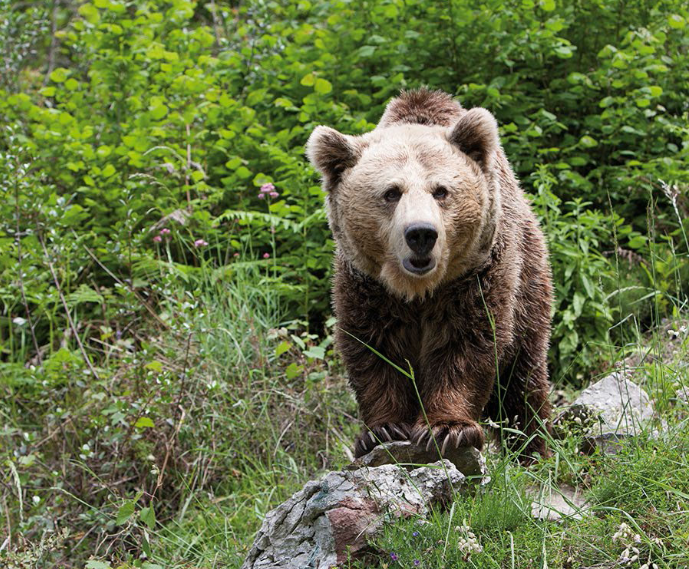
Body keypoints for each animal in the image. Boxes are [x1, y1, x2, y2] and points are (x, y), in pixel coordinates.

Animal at [306, 88, 553, 462]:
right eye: (391, 192)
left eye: (441, 191)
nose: (421, 233)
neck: (419, 289)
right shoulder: (366, 285)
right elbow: (374, 349)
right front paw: (382, 430)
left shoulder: (476, 276)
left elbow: (468, 344)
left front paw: (448, 428)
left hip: (530, 280)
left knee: (522, 381)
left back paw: (533, 448)